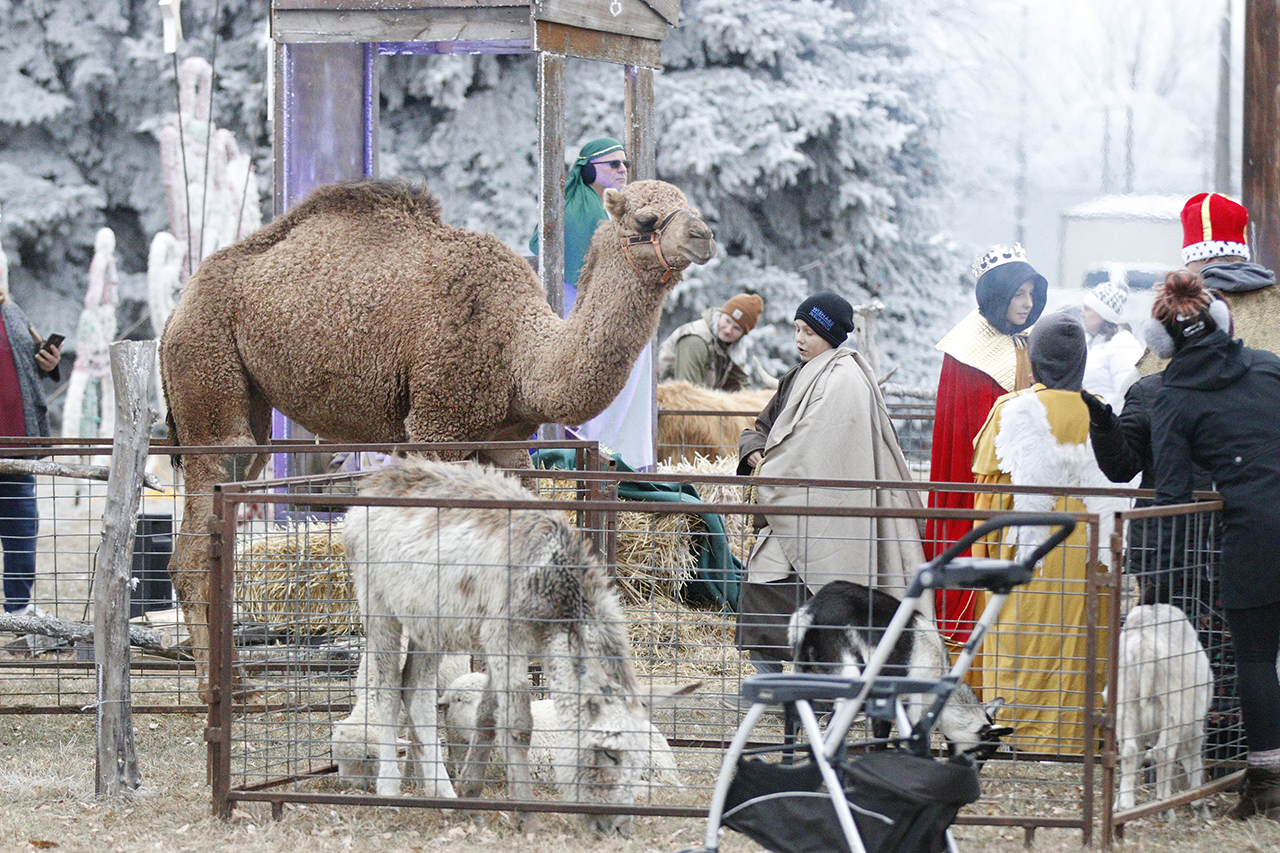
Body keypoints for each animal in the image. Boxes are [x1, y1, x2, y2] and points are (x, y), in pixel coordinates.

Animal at [158, 178, 716, 676]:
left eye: (689, 203)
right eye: (646, 219)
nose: (704, 234)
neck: (520, 352)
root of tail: (175, 310)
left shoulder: (506, 442)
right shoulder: (437, 425)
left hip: (249, 404)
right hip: (206, 371)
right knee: (198, 525)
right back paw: (222, 686)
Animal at [345, 458, 655, 829]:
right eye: (610, 753)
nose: (619, 827)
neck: (548, 576)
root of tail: (383, 477)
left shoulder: (504, 646)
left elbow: (487, 716)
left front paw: (469, 793)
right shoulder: (503, 638)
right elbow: (518, 725)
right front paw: (526, 813)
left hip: (430, 624)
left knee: (415, 691)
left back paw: (442, 793)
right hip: (378, 605)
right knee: (388, 689)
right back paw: (389, 790)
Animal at [783, 578, 1013, 758]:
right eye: (982, 751)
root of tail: (812, 611)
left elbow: (880, 741)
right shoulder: (912, 704)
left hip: (803, 668)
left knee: (794, 717)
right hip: (849, 672)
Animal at [1116, 601, 1213, 814]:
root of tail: (1145, 641)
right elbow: (1192, 752)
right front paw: (1198, 800)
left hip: (1126, 700)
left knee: (1129, 749)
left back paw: (1126, 804)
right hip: (1174, 708)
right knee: (1163, 752)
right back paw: (1164, 805)